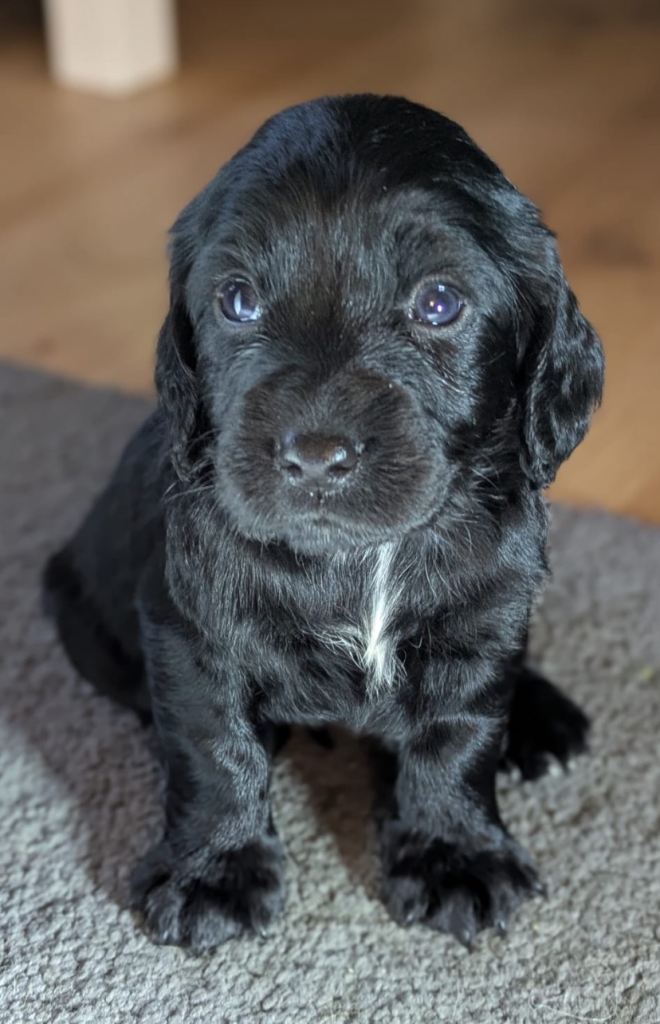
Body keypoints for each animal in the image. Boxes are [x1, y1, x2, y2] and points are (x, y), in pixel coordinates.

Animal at [44, 94, 604, 951]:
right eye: (237, 299)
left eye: (439, 303)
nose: (313, 456)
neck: (362, 560)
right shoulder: (190, 626)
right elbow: (213, 746)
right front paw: (214, 871)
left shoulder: (480, 618)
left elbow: (458, 735)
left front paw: (454, 854)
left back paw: (539, 718)